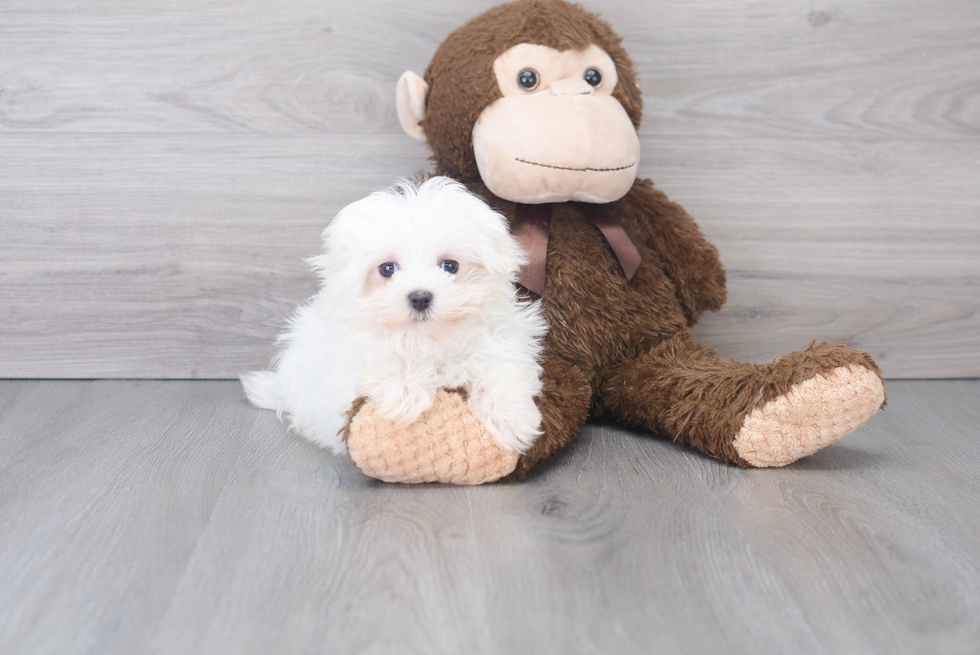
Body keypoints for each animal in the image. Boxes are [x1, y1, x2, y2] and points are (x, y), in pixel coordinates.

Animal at [241, 177, 548, 458]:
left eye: (450, 265)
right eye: (387, 269)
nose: (420, 297)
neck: (427, 338)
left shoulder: (502, 340)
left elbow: (502, 369)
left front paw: (510, 418)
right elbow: (378, 357)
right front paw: (406, 390)